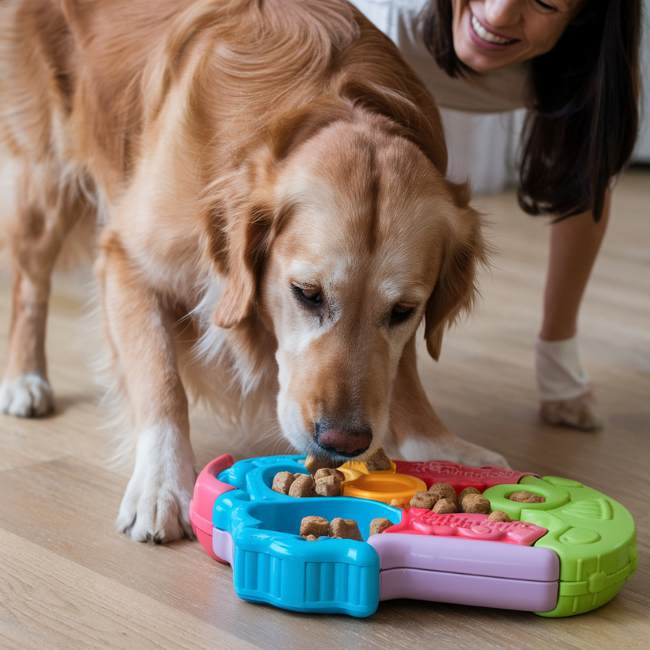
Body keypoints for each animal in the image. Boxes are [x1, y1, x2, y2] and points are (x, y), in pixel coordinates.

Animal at [0, 0, 506, 540]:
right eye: (306, 293)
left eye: (403, 311)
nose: (344, 442)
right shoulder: (129, 257)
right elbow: (160, 378)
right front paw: (162, 483)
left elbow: (402, 369)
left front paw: (441, 445)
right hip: (45, 173)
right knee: (29, 282)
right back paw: (24, 378)